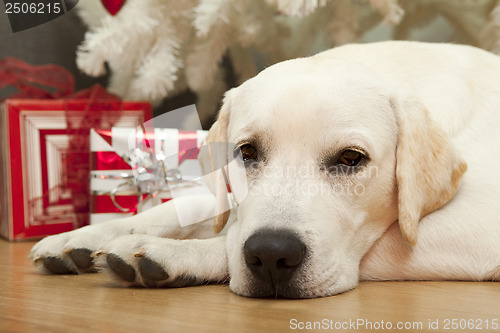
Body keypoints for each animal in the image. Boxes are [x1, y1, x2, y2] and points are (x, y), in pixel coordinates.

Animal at [30, 40, 500, 296]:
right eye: (248, 152)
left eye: (351, 159)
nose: (272, 254)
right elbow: (187, 209)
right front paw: (81, 236)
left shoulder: (480, 227)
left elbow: (227, 240)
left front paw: (174, 253)